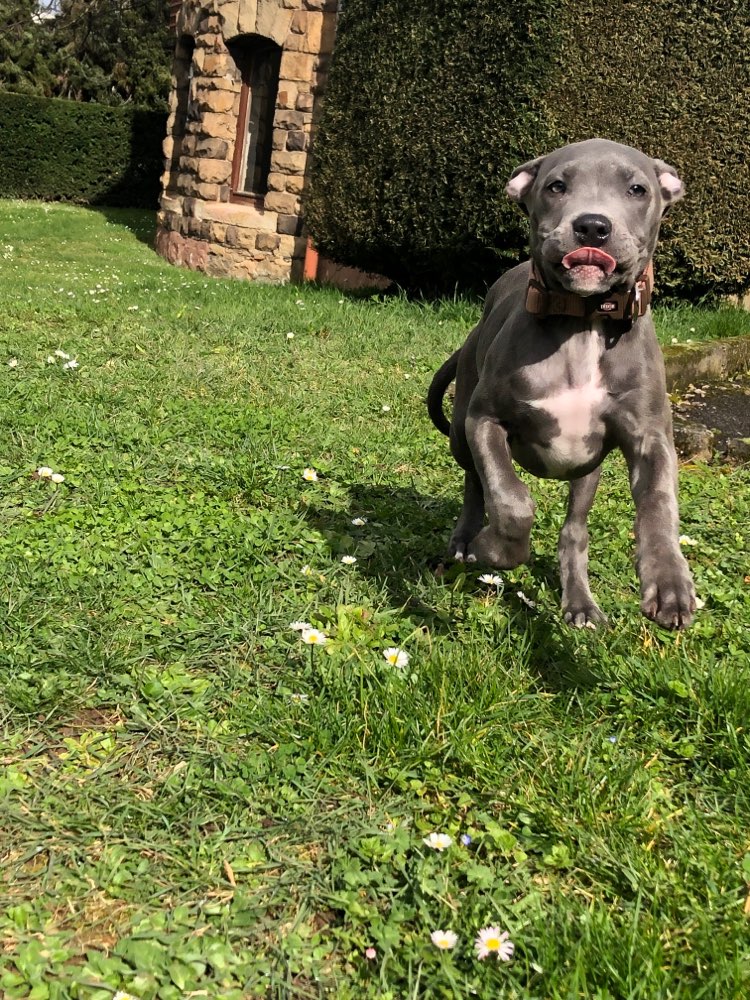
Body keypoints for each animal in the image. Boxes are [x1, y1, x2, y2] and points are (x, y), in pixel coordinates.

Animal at [428, 137, 700, 628]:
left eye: (637, 189)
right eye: (556, 186)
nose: (592, 226)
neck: (584, 320)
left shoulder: (650, 437)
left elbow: (659, 502)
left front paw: (670, 582)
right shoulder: (486, 420)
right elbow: (512, 501)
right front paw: (493, 548)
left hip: (586, 471)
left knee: (574, 529)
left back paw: (580, 603)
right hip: (461, 430)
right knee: (474, 481)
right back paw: (464, 540)